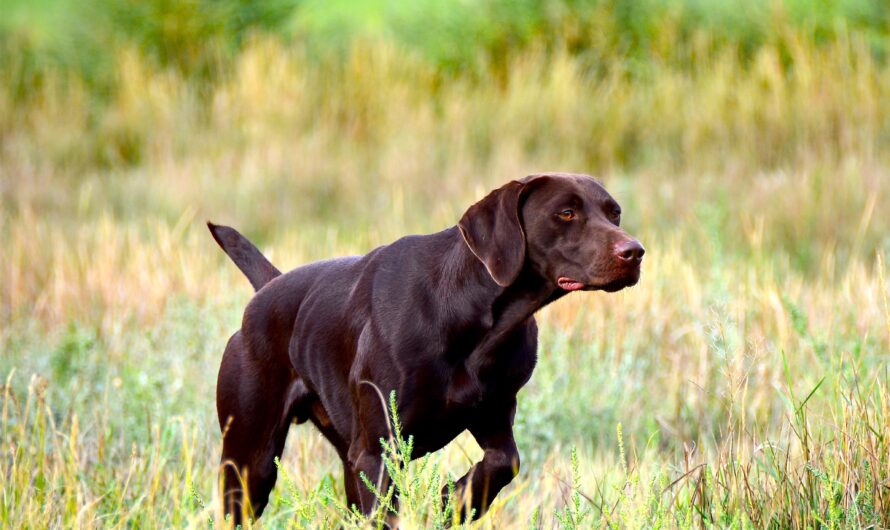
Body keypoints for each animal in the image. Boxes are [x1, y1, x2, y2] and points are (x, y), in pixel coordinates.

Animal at [206, 172, 640, 520]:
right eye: (565, 213)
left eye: (614, 213)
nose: (635, 252)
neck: (477, 319)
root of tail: (265, 291)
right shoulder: (377, 454)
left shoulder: (494, 418)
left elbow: (505, 463)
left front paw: (453, 501)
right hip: (250, 461)